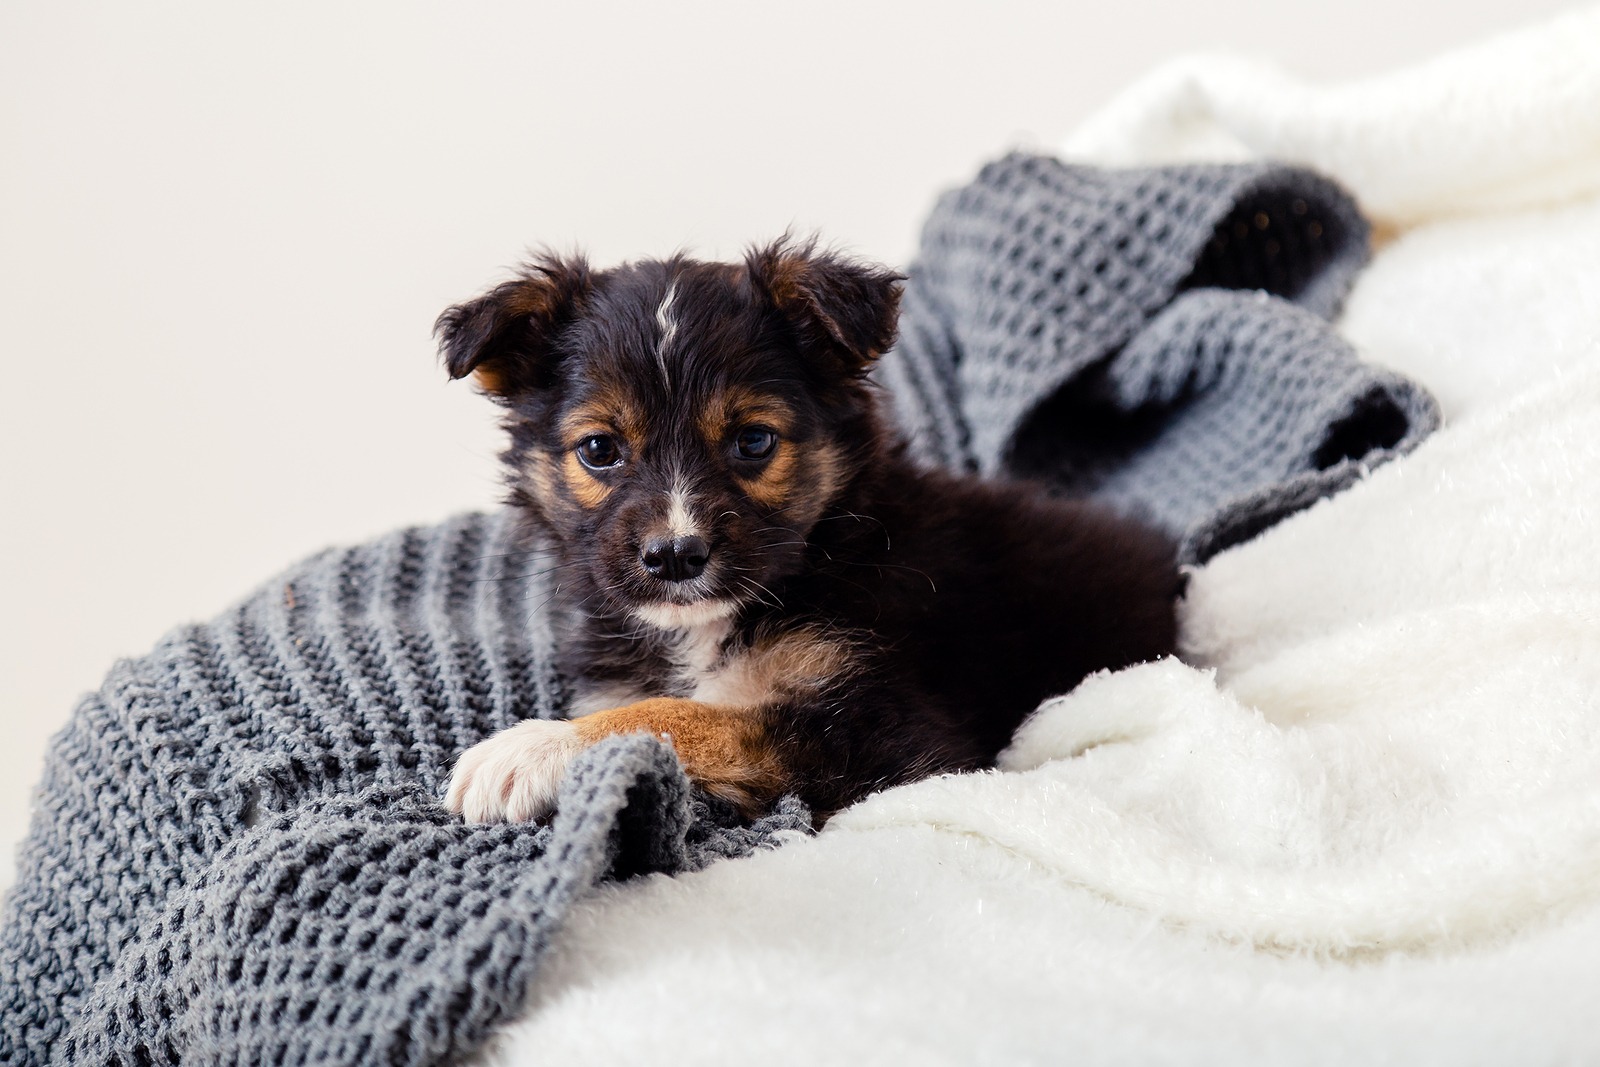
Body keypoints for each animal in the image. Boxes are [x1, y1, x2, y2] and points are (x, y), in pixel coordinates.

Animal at [435, 235, 1177, 825]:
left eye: (754, 441)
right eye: (598, 449)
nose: (675, 556)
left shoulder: (893, 738)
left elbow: (687, 716)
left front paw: (530, 748)